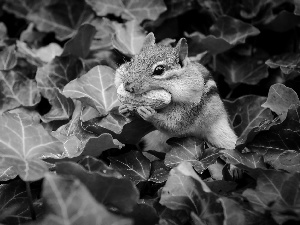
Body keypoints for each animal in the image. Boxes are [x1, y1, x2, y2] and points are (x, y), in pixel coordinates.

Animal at [113, 33, 240, 178]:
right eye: (132, 62)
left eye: (159, 70)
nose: (127, 85)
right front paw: (124, 109)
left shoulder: (189, 111)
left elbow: (174, 125)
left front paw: (150, 114)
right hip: (154, 147)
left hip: (221, 133)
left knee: (231, 149)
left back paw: (235, 167)